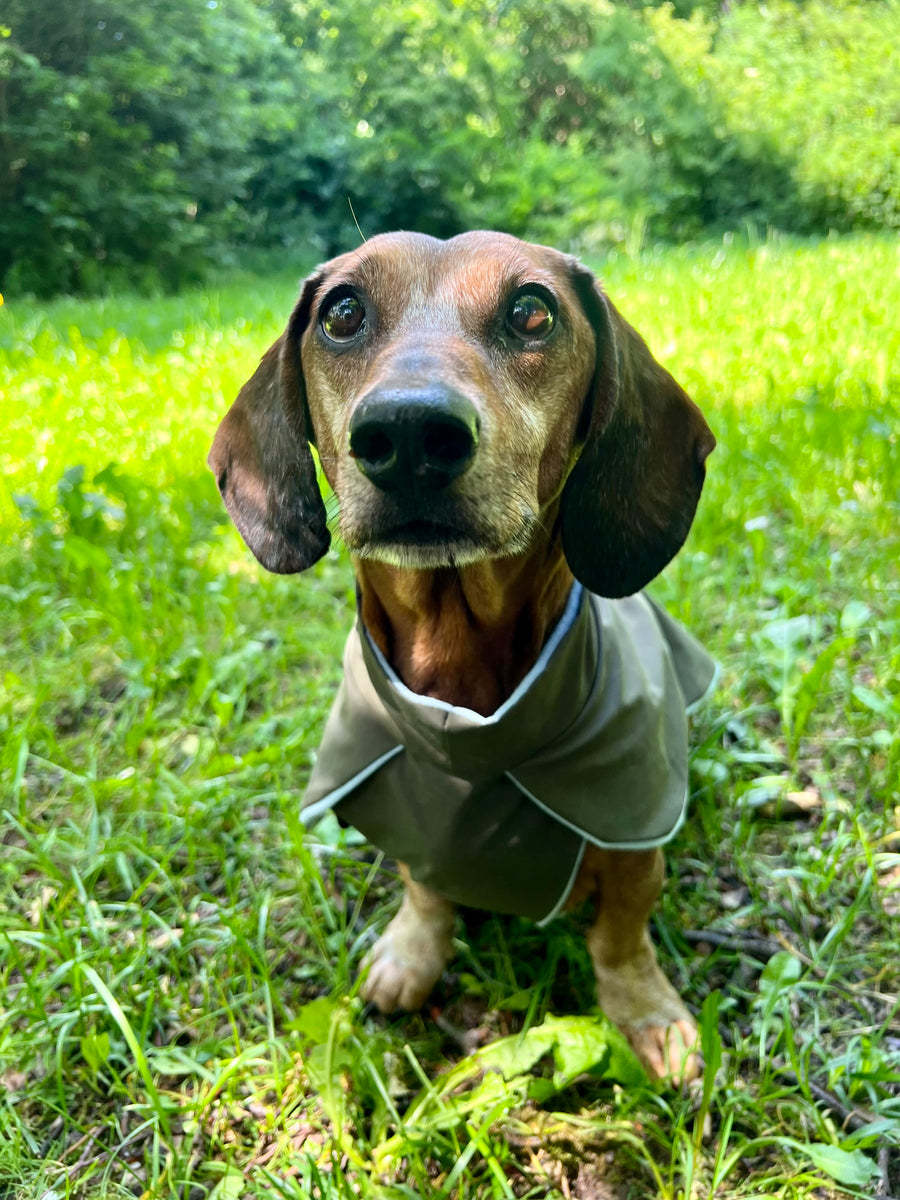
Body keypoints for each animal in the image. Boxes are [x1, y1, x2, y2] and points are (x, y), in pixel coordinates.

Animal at [211, 229, 720, 1084]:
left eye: (532, 310)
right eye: (342, 312)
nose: (410, 435)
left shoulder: (632, 839)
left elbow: (620, 936)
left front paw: (646, 1013)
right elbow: (425, 889)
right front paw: (411, 955)